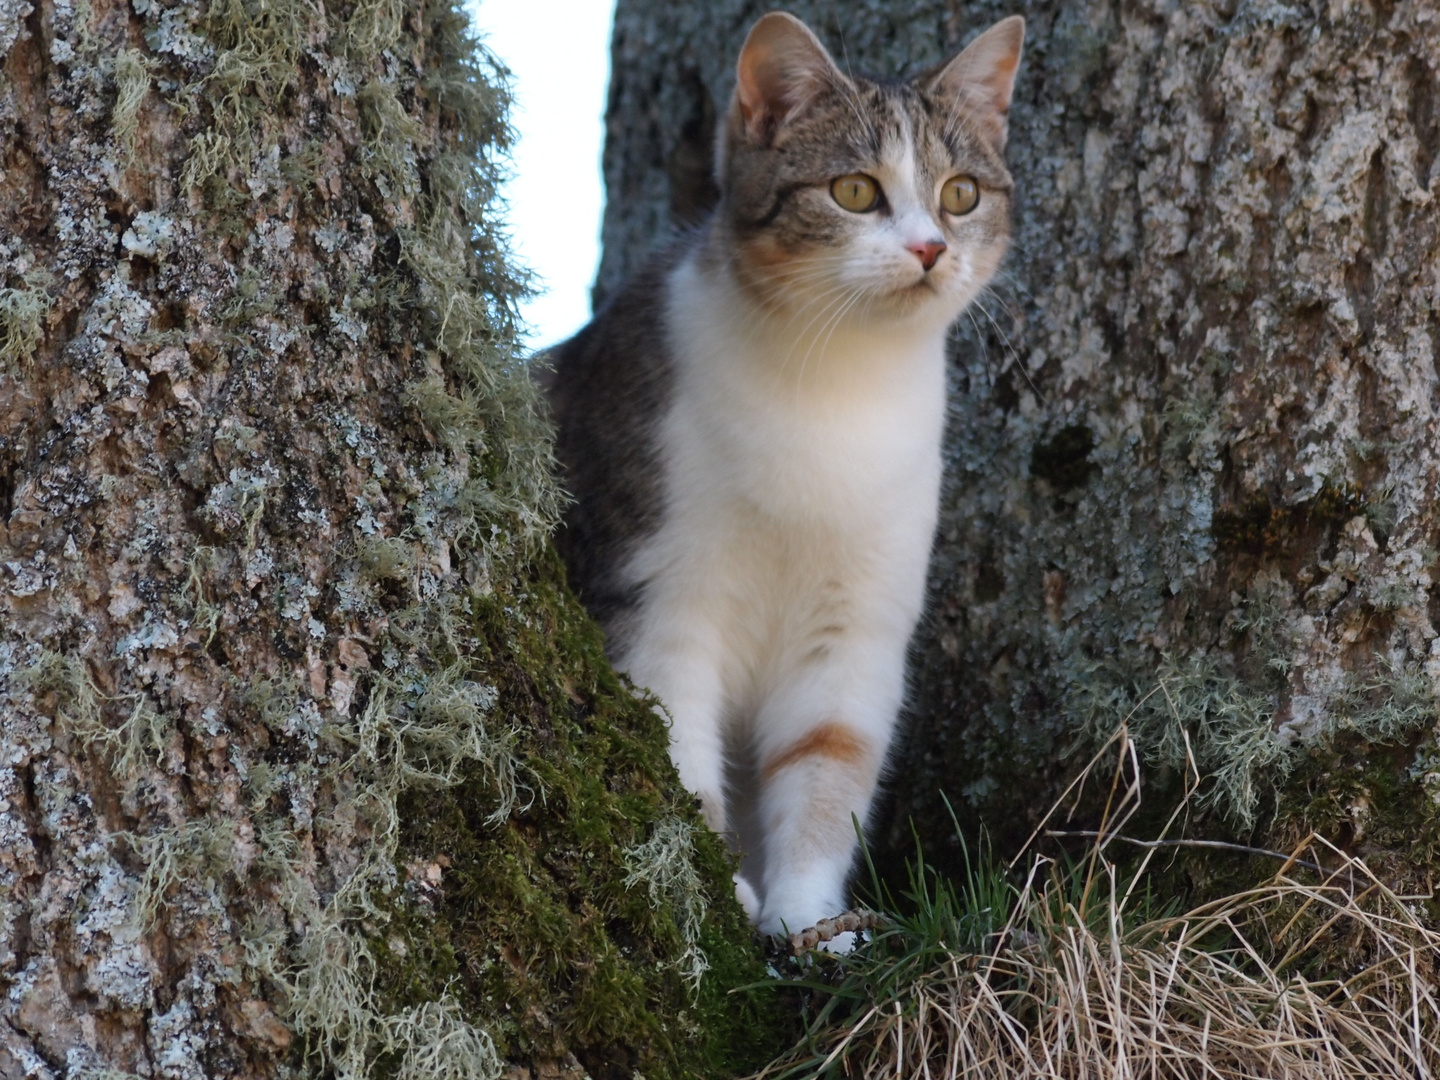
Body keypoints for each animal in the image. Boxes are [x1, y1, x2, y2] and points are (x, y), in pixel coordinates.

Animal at [541, 10, 1025, 944]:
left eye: (960, 195)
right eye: (855, 192)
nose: (929, 248)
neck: (835, 393)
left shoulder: (855, 626)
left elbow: (826, 766)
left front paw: (809, 921)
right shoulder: (658, 596)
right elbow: (676, 752)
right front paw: (718, 892)